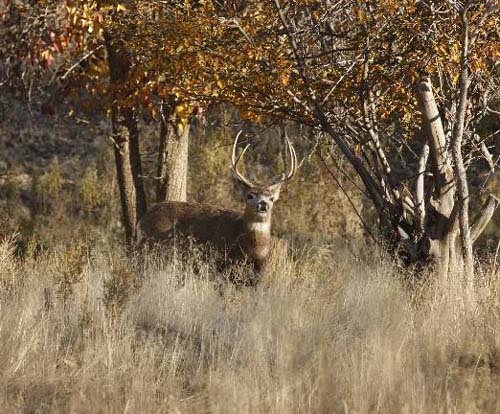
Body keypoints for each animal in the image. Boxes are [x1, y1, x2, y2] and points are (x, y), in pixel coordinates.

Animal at [136, 132, 296, 282]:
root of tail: (142, 221)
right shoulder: (222, 264)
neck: (254, 250)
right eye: (250, 195)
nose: (263, 204)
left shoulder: (260, 272)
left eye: (271, 198)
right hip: (153, 250)